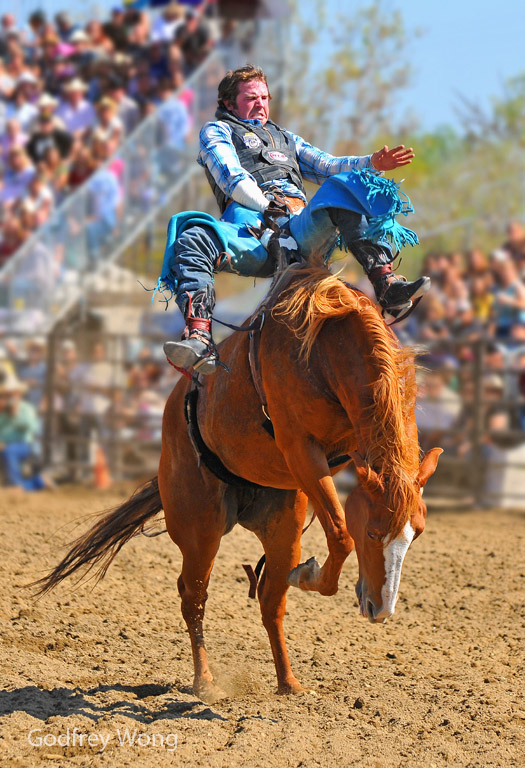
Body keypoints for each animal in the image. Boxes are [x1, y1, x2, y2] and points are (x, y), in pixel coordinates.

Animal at [33, 264, 442, 703]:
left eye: (416, 534)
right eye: (372, 532)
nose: (380, 610)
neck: (326, 347)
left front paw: (306, 575)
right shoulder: (301, 450)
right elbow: (340, 532)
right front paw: (309, 575)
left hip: (283, 523)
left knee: (269, 601)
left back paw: (288, 682)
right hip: (200, 527)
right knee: (193, 595)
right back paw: (206, 683)